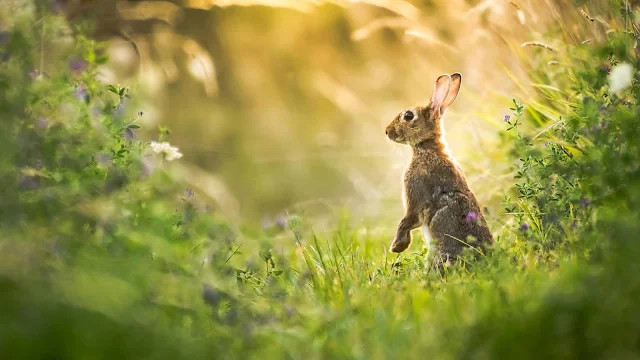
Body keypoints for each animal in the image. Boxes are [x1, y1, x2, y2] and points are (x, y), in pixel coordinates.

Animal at [384, 72, 496, 270]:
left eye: (408, 115)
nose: (387, 131)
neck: (427, 149)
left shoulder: (415, 196)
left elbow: (406, 220)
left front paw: (397, 246)